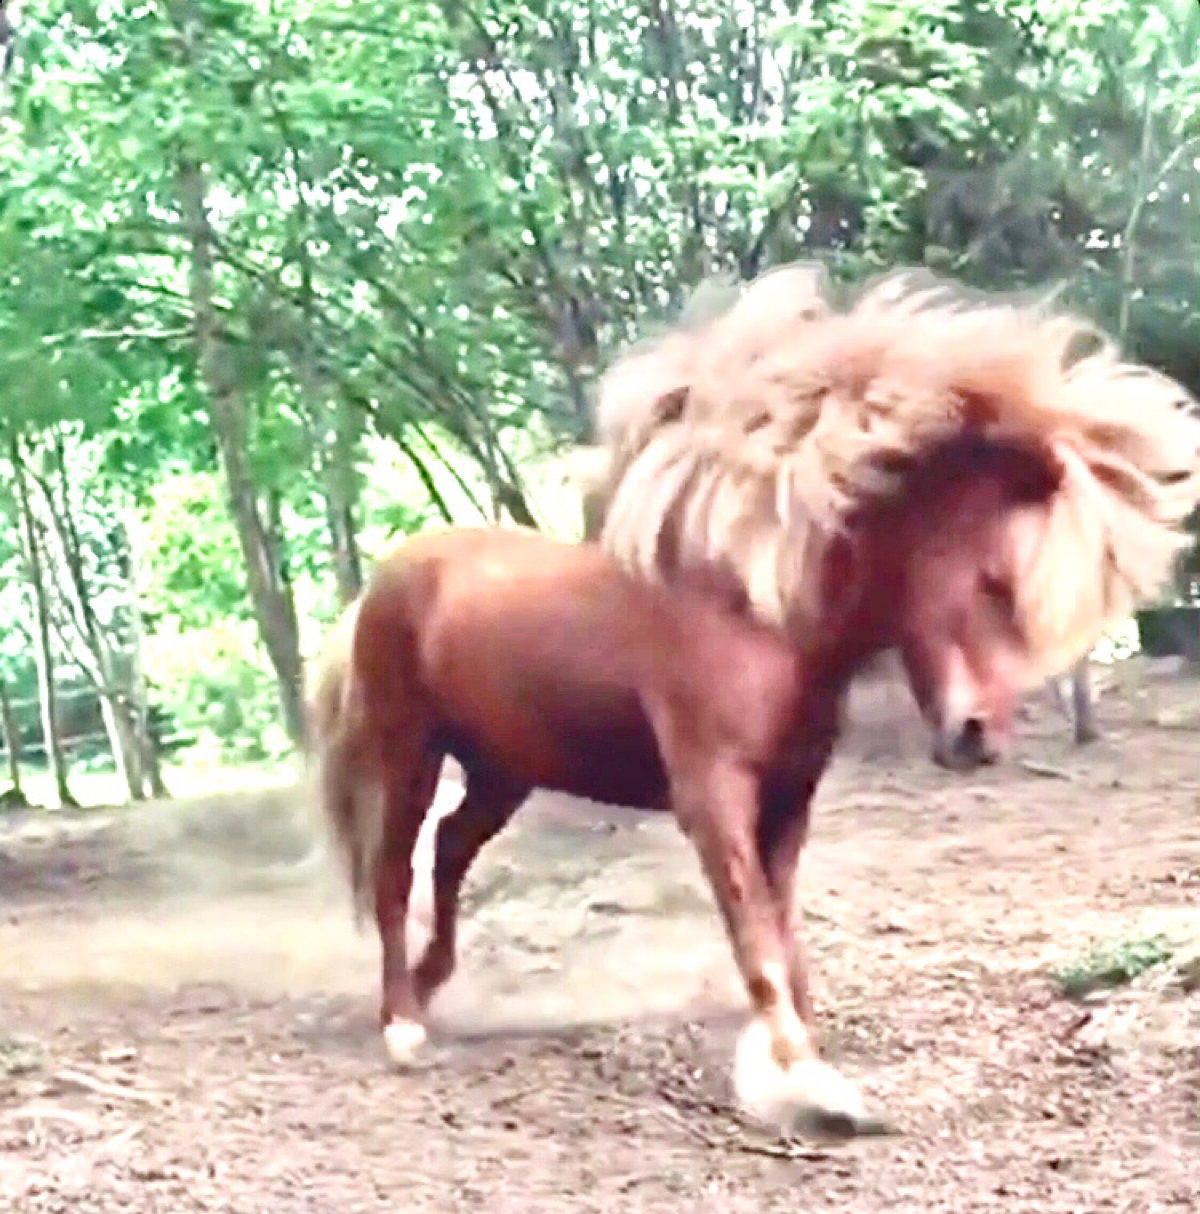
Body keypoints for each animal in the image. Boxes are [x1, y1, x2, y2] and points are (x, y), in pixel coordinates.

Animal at [307, 265, 1200, 1140]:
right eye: (994, 582)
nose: (976, 737)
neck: (756, 617)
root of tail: (383, 583)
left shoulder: (787, 801)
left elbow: (784, 939)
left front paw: (792, 1068)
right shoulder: (714, 797)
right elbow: (758, 943)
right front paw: (812, 1088)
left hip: (504, 770)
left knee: (451, 849)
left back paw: (428, 989)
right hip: (410, 752)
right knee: (393, 872)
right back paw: (401, 1025)